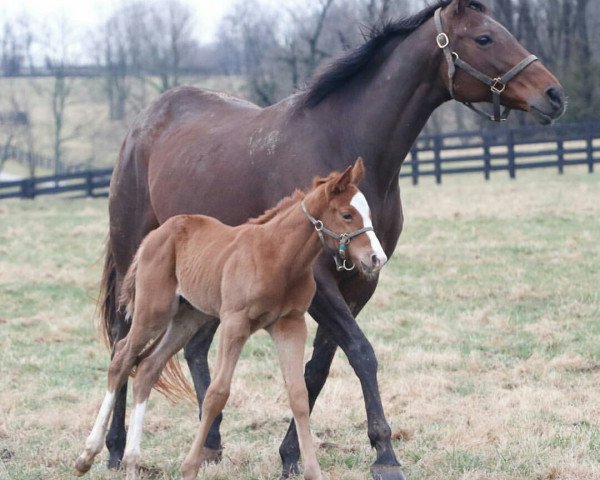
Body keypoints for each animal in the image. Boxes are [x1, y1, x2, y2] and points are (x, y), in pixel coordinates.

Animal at [75, 158, 386, 480]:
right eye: (347, 214)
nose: (377, 258)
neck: (277, 257)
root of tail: (158, 233)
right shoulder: (235, 323)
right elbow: (217, 393)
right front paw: (191, 466)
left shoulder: (290, 324)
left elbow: (298, 394)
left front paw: (312, 471)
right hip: (153, 312)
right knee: (122, 358)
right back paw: (88, 455)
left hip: (187, 317)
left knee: (148, 367)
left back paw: (133, 461)